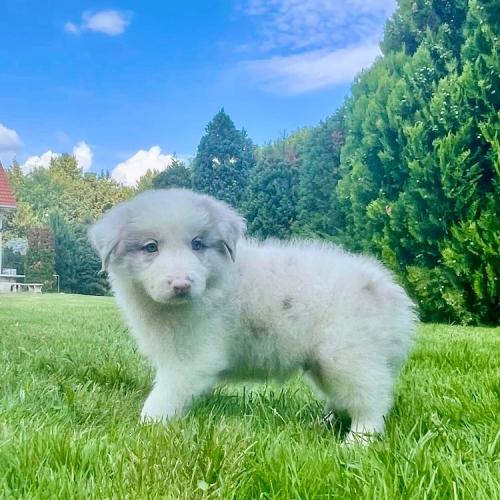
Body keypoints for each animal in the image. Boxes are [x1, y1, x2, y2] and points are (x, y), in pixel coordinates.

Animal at [88, 188, 416, 442]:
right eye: (150, 247)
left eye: (197, 244)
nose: (181, 285)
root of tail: (391, 294)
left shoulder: (191, 362)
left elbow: (161, 399)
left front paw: (144, 430)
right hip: (328, 364)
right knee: (343, 399)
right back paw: (322, 424)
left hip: (349, 357)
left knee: (372, 403)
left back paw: (357, 443)